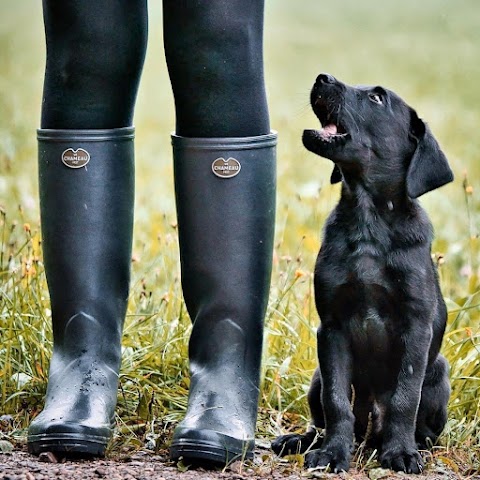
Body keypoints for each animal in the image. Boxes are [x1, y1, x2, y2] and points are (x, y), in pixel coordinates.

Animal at [274, 74, 454, 472]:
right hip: (316, 377)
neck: (369, 221)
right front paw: (331, 453)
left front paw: (400, 452)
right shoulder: (332, 328)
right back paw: (303, 440)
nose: (321, 77)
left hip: (438, 373)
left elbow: (404, 399)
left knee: (408, 423)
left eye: (376, 99)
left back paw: (410, 445)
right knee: (337, 417)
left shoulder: (415, 328)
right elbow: (337, 402)